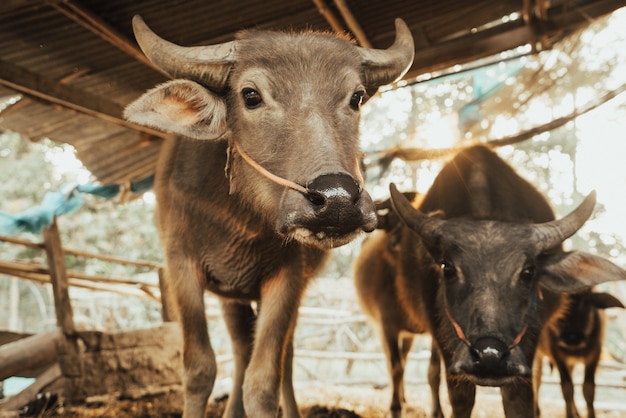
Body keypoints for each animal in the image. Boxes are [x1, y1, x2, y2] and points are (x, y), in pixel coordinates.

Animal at [122, 13, 414, 418]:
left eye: (356, 97)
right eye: (251, 95)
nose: (337, 199)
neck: (238, 219)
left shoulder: (287, 277)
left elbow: (264, 381)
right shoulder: (181, 265)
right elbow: (199, 368)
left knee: (283, 358)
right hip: (230, 294)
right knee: (241, 349)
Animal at [532, 290, 624, 418]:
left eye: (586, 303)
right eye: (561, 308)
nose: (572, 338)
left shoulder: (595, 354)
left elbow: (589, 389)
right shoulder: (558, 356)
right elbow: (567, 388)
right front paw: (569, 415)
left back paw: (576, 413)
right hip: (537, 355)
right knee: (536, 378)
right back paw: (536, 411)